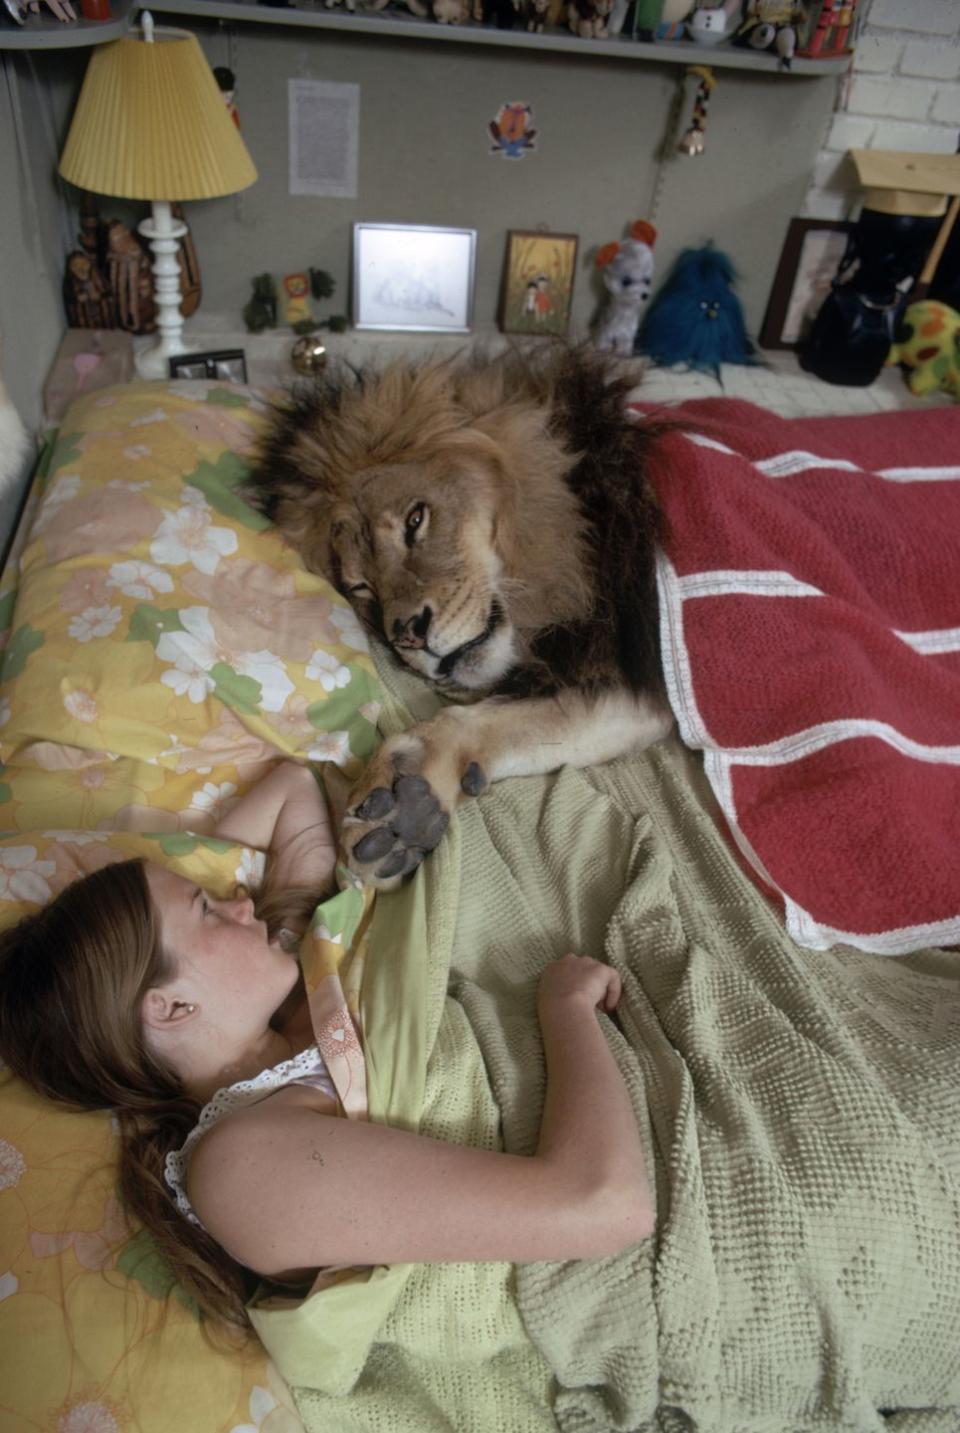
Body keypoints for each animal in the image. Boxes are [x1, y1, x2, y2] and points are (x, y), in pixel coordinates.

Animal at [246, 346, 676, 882]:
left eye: (415, 520)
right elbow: (499, 723)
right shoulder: (636, 681)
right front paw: (405, 807)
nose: (408, 635)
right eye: (361, 586)